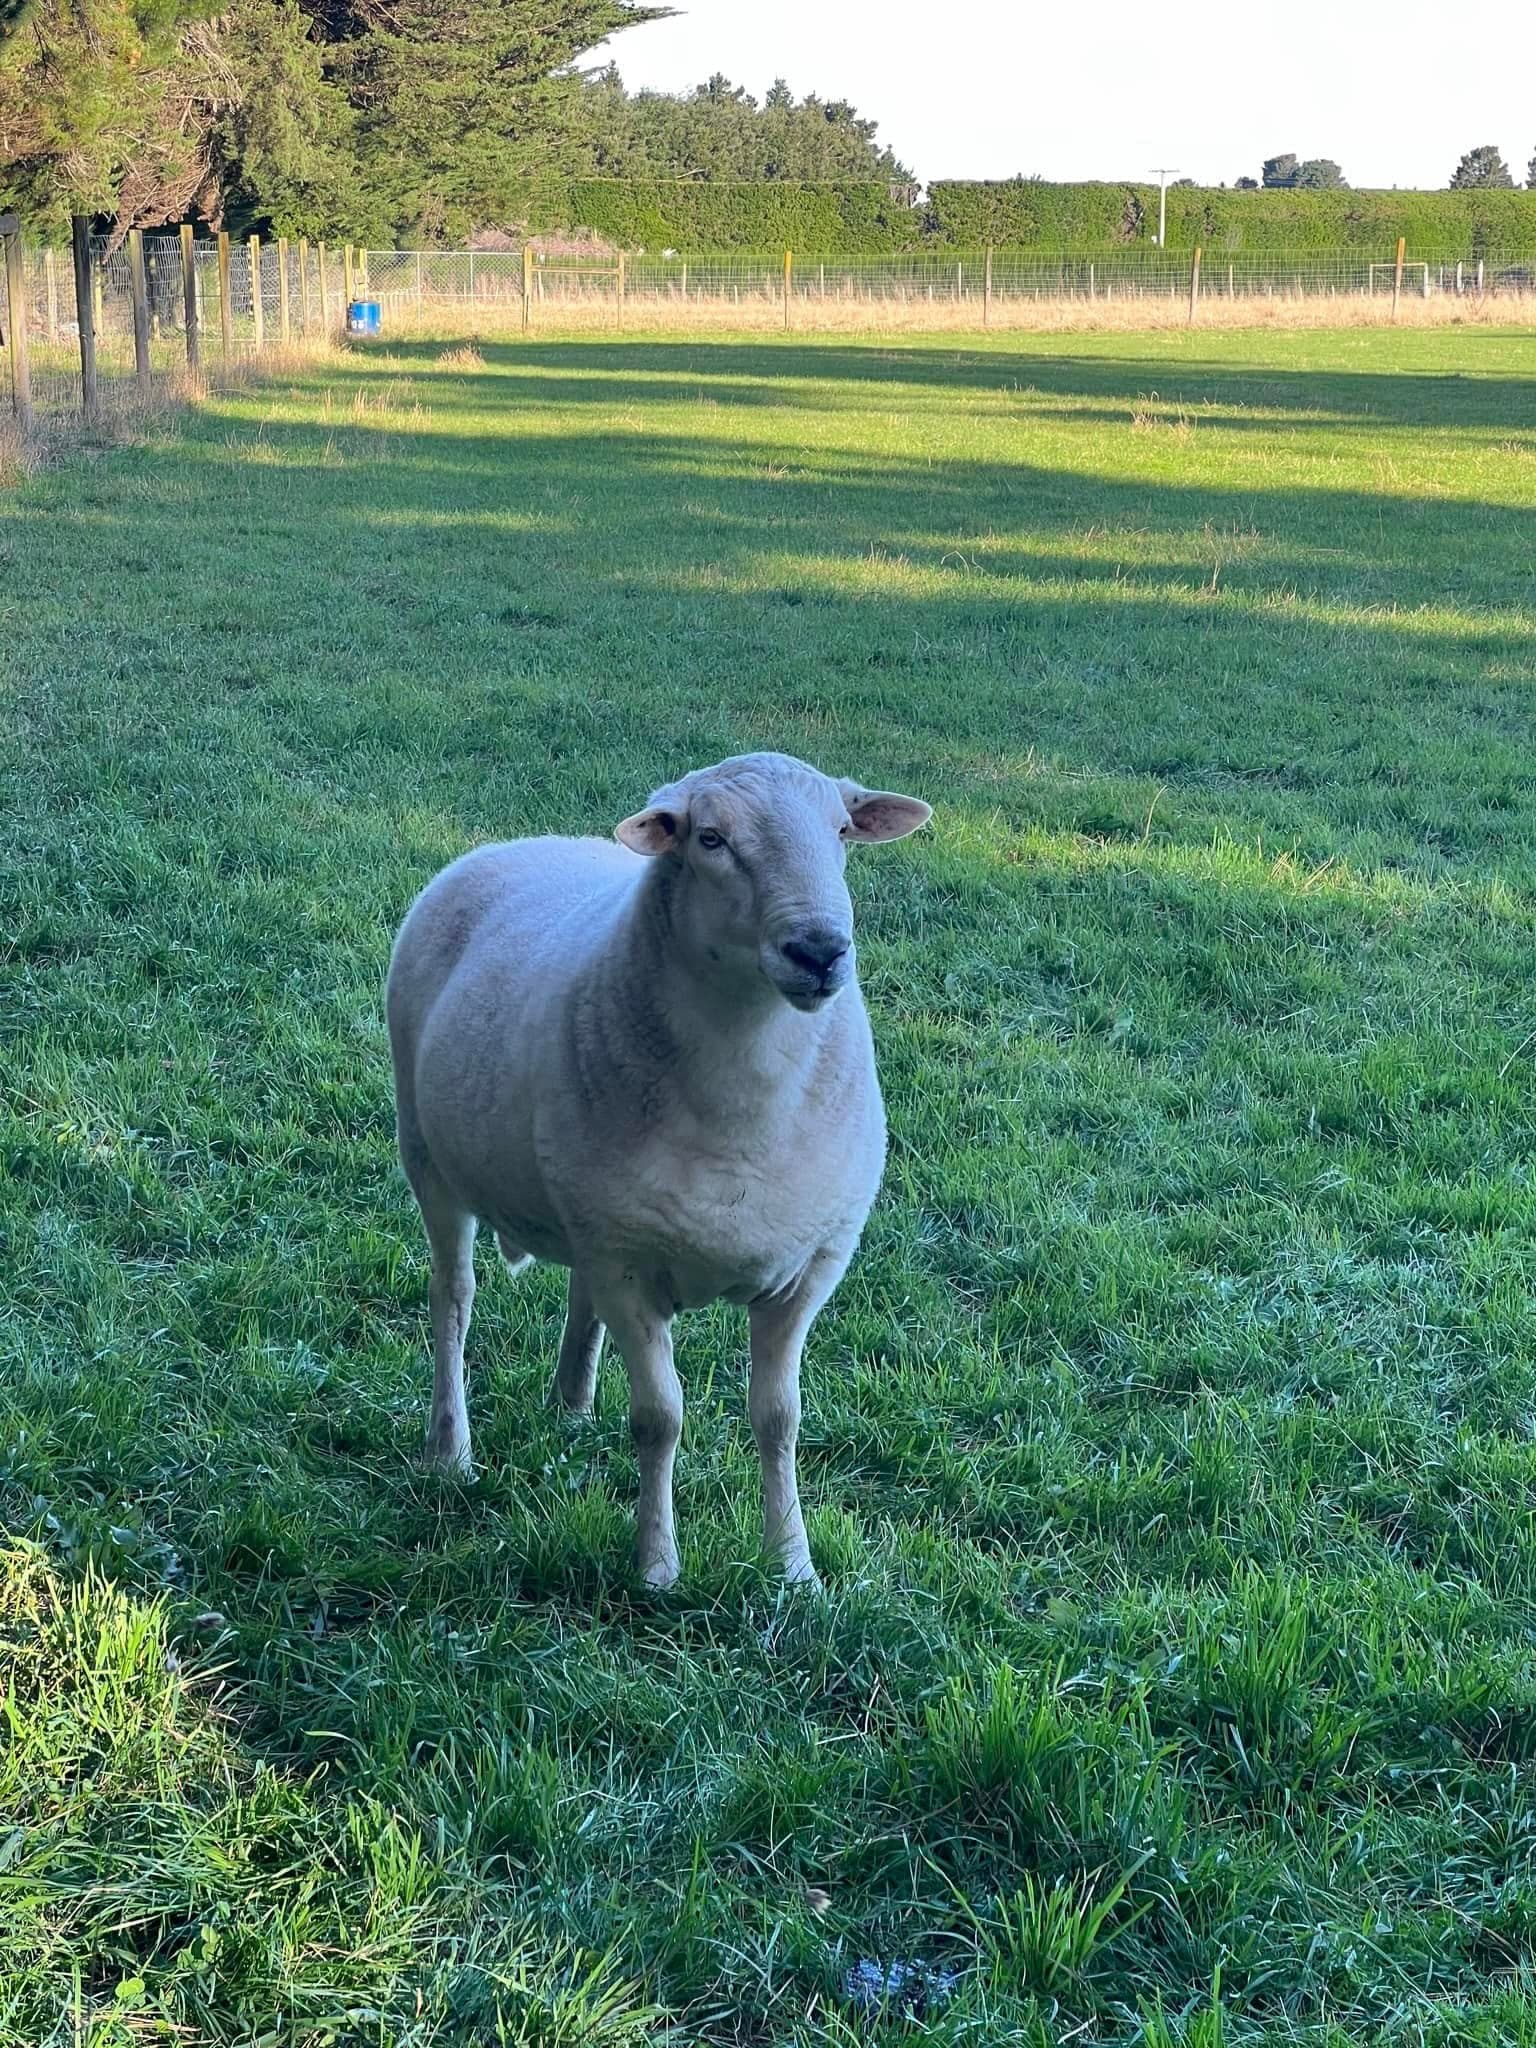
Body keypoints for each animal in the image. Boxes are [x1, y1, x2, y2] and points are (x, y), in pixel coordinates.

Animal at [386, 752, 931, 1588]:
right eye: (710, 839)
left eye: (843, 830)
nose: (820, 951)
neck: (747, 1106)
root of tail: (518, 842)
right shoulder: (630, 1269)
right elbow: (659, 1420)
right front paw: (657, 1566)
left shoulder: (808, 1269)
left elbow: (780, 1419)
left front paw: (793, 1566)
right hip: (427, 1154)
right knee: (453, 1298)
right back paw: (450, 1450)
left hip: (585, 1208)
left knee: (572, 1293)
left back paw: (571, 1407)